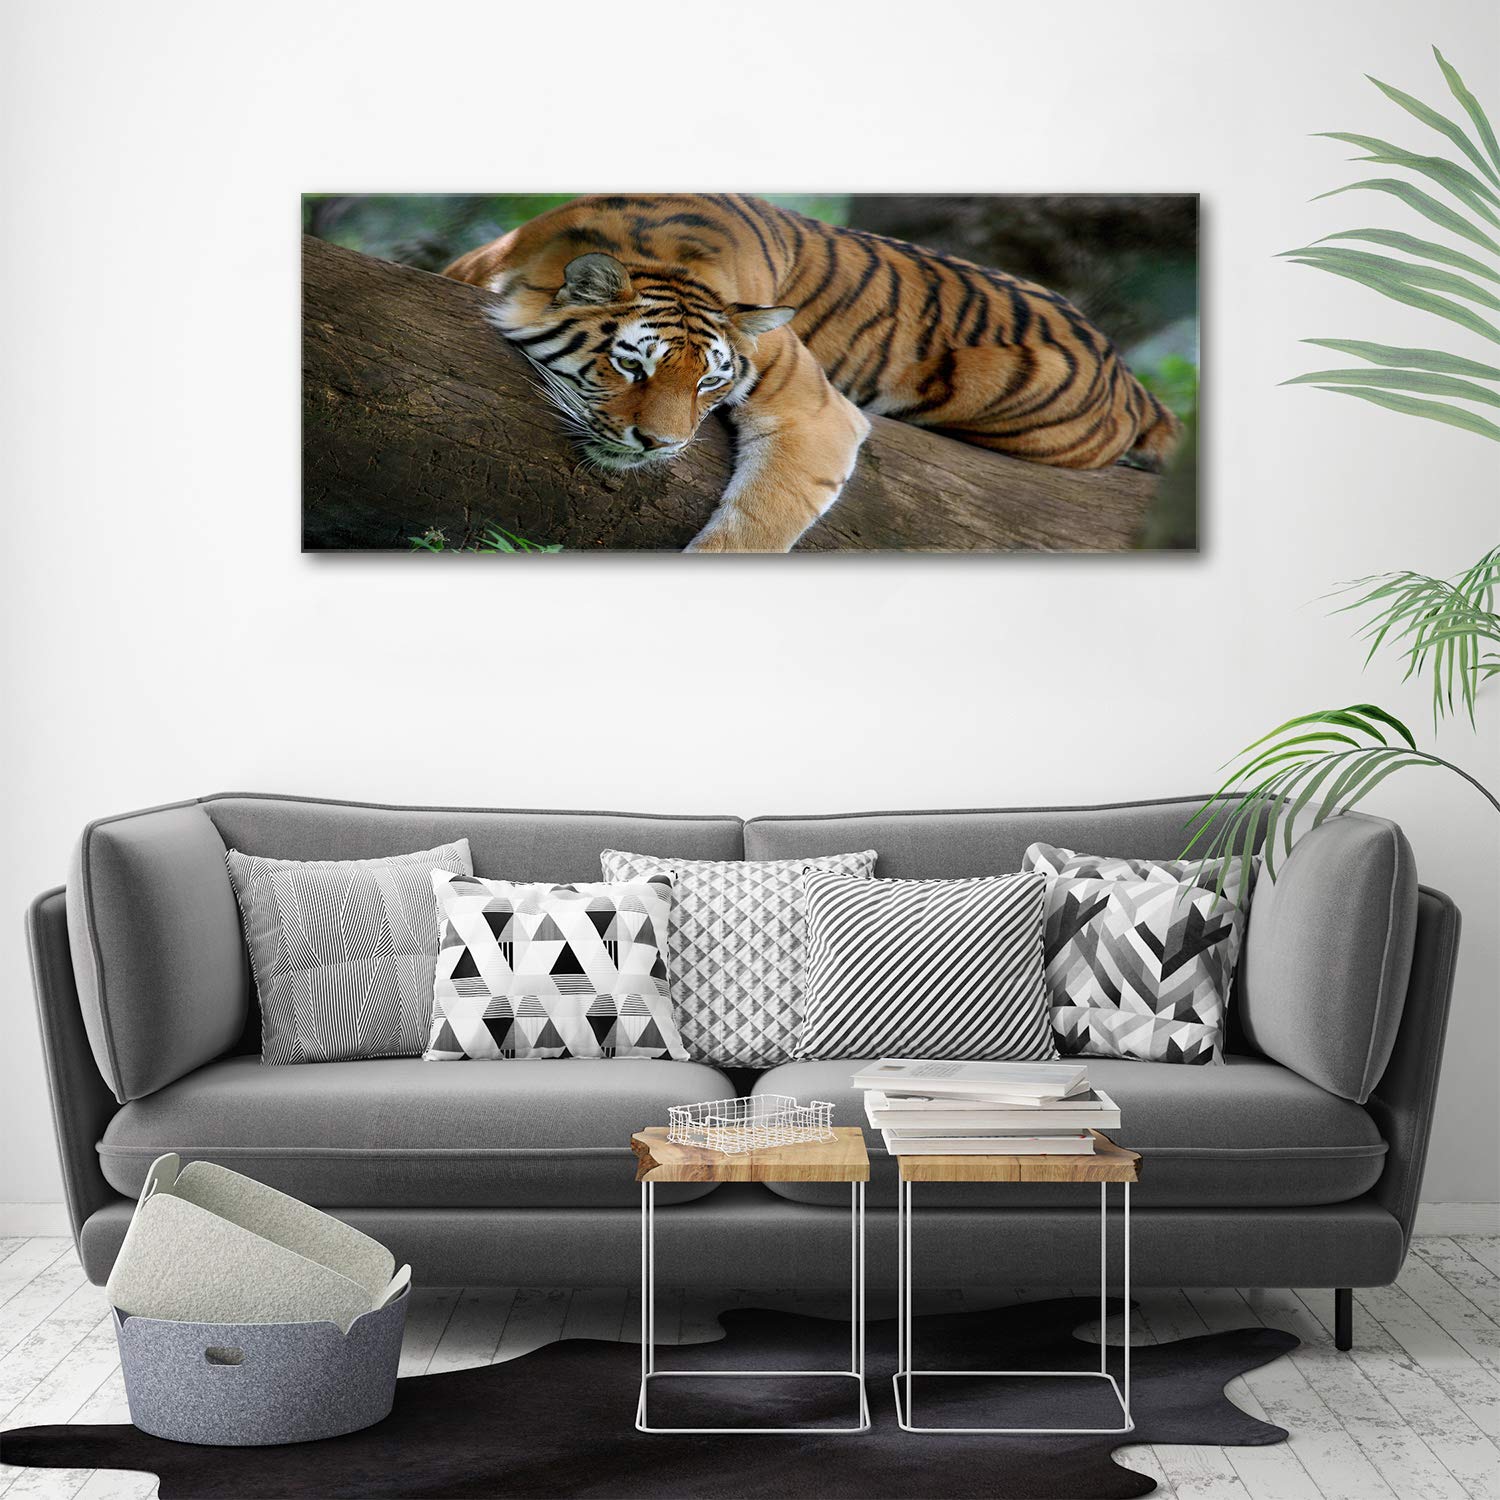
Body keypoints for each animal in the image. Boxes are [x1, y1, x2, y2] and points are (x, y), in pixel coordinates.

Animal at [443, 194, 1180, 552]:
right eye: (630, 365)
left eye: (709, 382)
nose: (662, 445)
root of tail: (1128, 376)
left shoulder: (814, 409)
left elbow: (757, 524)